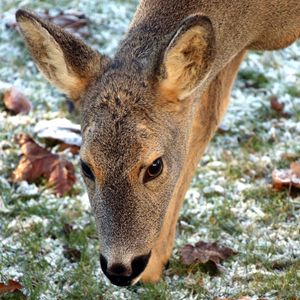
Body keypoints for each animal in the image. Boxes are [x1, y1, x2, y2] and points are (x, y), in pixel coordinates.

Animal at [16, 0, 300, 286]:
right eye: (86, 167)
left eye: (155, 166)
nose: (120, 269)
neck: (264, 26)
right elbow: (205, 120)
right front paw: (155, 266)